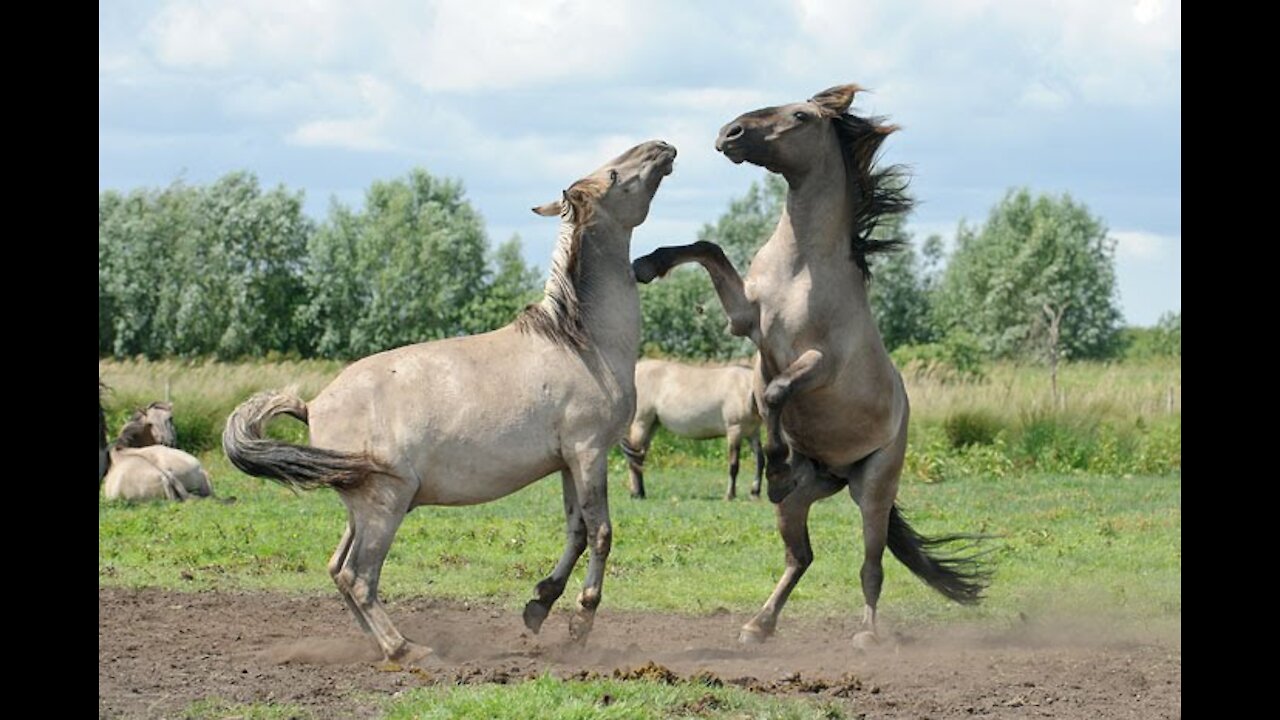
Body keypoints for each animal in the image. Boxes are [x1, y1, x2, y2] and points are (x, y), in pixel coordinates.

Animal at [222, 139, 680, 661]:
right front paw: (580, 622)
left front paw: (539, 604)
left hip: (363, 509)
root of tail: (312, 405)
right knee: (358, 575)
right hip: (385, 505)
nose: (663, 147)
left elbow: (577, 532)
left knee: (338, 570)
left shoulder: (570, 461)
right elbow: (601, 534)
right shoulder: (589, 452)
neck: (581, 342)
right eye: (613, 175)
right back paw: (405, 649)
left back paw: (380, 644)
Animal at [619, 356, 757, 499]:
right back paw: (636, 493)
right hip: (640, 423)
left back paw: (640, 492)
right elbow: (734, 464)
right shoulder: (735, 430)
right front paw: (730, 495)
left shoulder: (752, 432)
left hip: (652, 425)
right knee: (634, 456)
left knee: (638, 455)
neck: (746, 386)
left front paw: (755, 494)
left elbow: (760, 460)